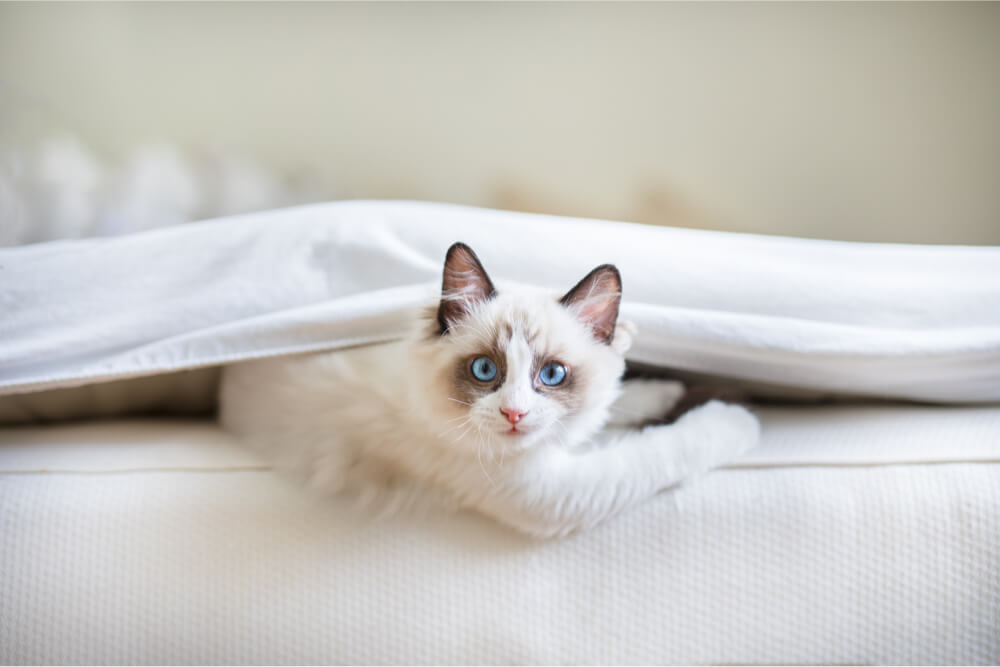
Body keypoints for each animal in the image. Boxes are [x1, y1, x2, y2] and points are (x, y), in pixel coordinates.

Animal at [221, 243, 756, 540]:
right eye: (484, 370)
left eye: (552, 375)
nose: (515, 414)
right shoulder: (555, 493)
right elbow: (668, 449)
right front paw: (738, 415)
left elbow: (621, 402)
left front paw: (670, 390)